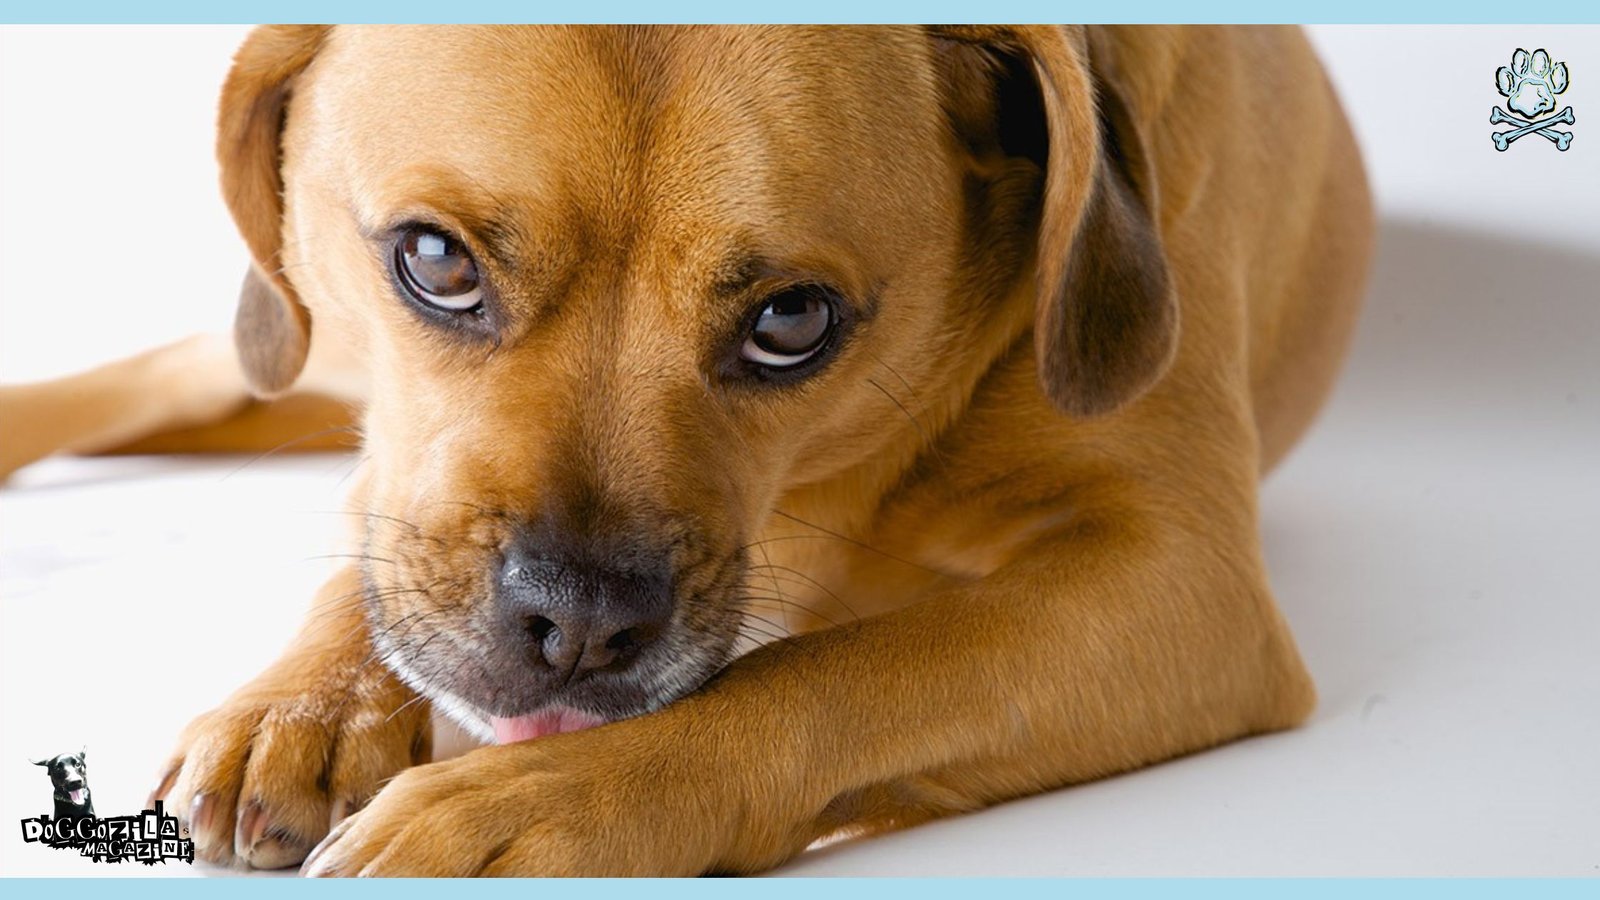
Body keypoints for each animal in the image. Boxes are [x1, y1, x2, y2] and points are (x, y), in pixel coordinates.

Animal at [3, 26, 1376, 871]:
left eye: (793, 322)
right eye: (435, 260)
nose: (578, 624)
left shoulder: (1180, 584)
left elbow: (830, 675)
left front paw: (546, 803)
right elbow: (387, 522)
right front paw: (312, 698)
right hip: (302, 340)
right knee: (189, 371)